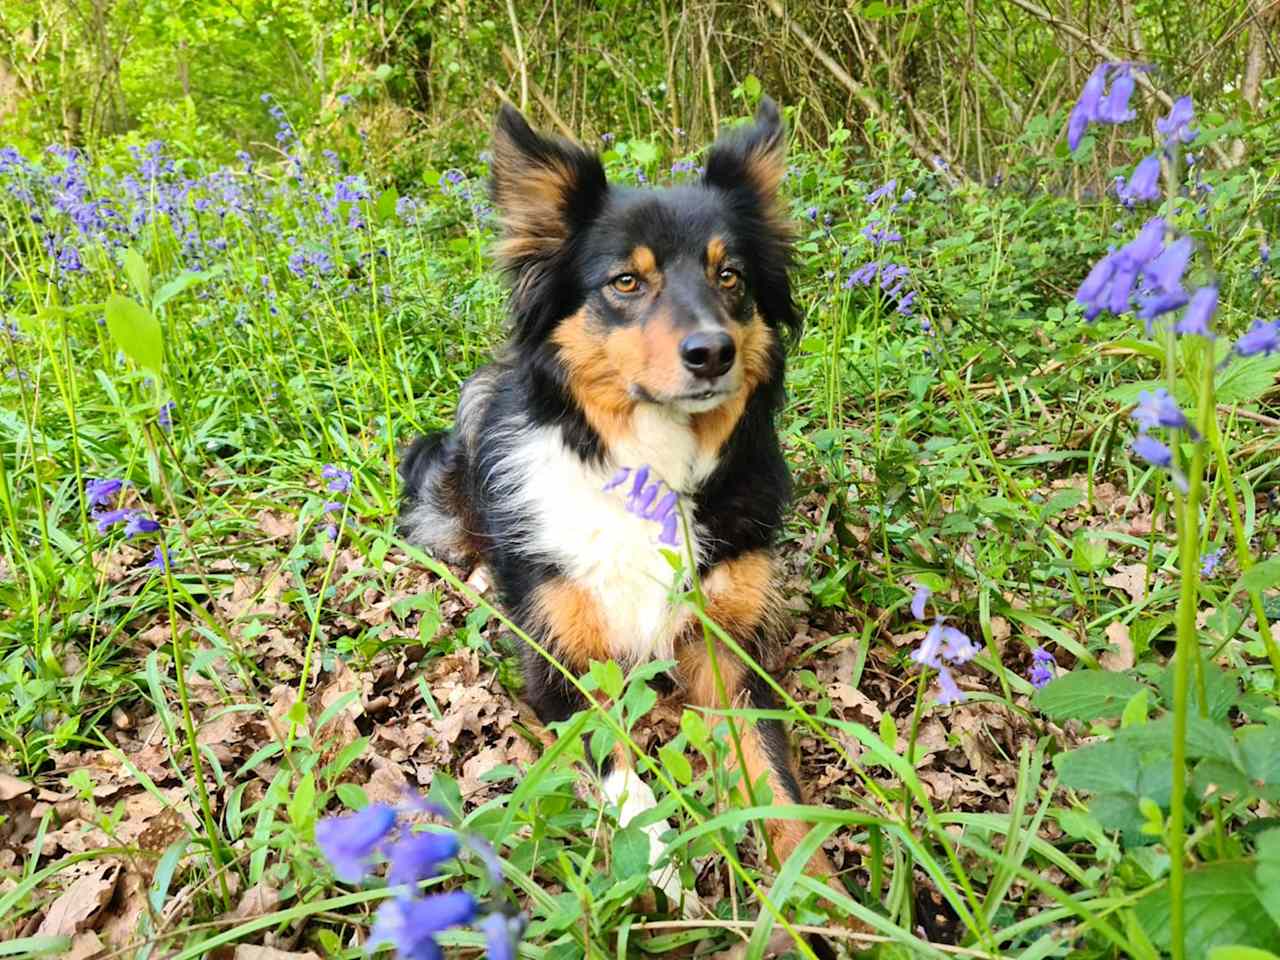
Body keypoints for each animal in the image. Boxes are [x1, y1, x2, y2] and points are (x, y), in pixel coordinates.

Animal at [394, 99, 844, 931]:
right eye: (627, 281)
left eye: (730, 276)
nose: (714, 353)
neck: (648, 463)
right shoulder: (563, 669)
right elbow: (623, 772)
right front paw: (664, 868)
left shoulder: (729, 652)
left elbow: (776, 790)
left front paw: (819, 899)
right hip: (472, 414)